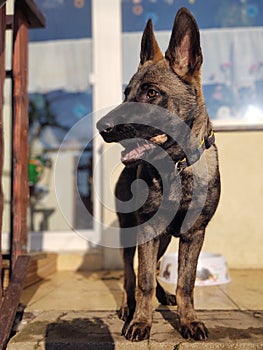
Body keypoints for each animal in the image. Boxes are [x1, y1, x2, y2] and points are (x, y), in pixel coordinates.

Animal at [96, 7, 221, 342]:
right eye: (126, 93)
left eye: (151, 93)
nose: (101, 128)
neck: (176, 165)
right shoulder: (147, 230)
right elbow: (143, 280)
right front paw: (140, 321)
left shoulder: (193, 234)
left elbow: (186, 283)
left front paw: (189, 320)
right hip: (133, 231)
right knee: (130, 273)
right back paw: (128, 306)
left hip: (162, 238)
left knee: (152, 269)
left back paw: (163, 297)